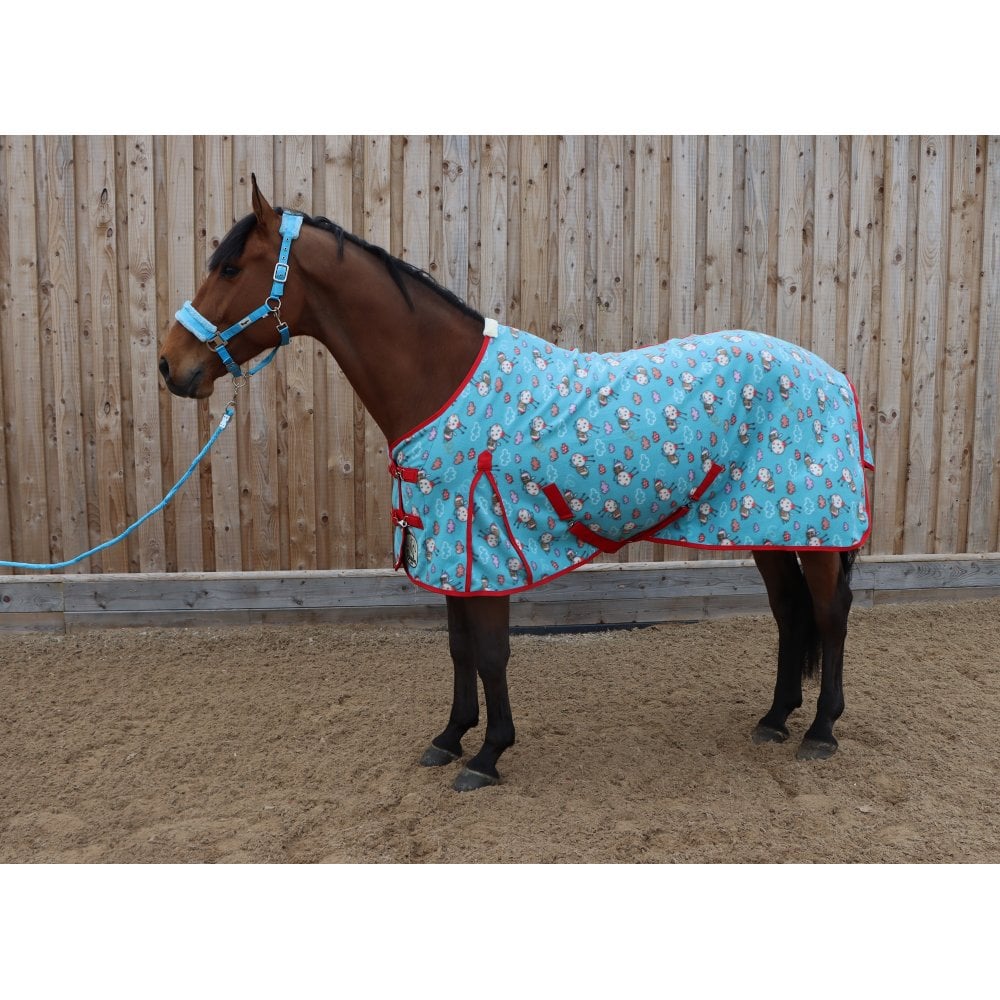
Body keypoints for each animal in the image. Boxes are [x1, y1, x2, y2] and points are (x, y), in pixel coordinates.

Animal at [159, 176, 873, 792]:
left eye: (229, 269)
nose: (170, 364)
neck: (441, 379)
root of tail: (835, 376)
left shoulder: (484, 546)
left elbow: (492, 651)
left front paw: (488, 754)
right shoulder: (449, 551)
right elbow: (458, 648)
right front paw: (450, 737)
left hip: (813, 528)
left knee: (829, 614)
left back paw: (821, 730)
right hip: (768, 526)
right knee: (788, 614)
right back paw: (774, 719)